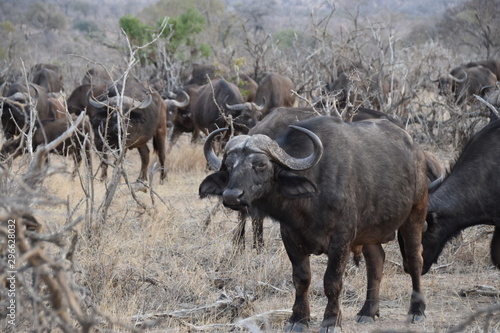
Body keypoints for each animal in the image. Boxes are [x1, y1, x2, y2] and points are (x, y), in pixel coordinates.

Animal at [200, 116, 430, 330]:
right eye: (229, 166)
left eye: (261, 165)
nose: (231, 196)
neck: (310, 199)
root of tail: (416, 150)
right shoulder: (290, 237)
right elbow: (301, 279)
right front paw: (298, 319)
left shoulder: (341, 240)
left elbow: (332, 281)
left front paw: (331, 320)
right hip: (369, 232)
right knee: (376, 262)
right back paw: (368, 311)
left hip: (415, 214)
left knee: (414, 259)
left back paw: (416, 310)